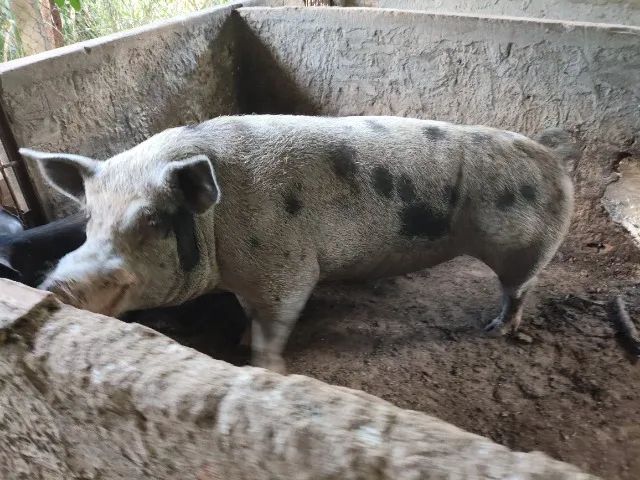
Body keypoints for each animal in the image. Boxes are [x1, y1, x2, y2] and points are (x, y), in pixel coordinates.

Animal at [20, 115, 577, 372]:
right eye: (90, 219)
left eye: (152, 220)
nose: (57, 286)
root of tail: (554, 158)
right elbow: (248, 315)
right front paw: (239, 341)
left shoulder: (286, 269)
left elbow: (276, 323)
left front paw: (262, 367)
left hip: (529, 249)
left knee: (518, 290)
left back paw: (494, 330)